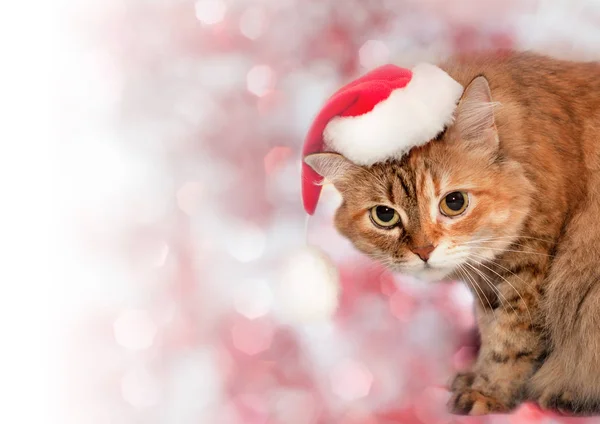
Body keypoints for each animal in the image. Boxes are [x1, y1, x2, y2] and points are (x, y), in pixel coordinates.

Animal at [304, 50, 600, 418]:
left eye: (454, 202)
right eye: (385, 216)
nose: (424, 251)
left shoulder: (531, 269)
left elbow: (510, 341)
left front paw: (490, 392)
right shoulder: (488, 283)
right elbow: (490, 329)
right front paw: (477, 375)